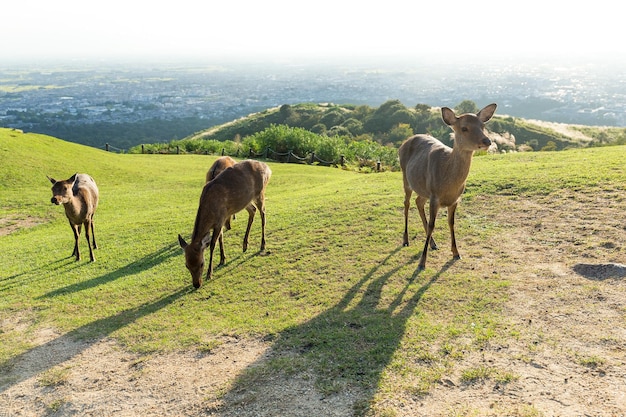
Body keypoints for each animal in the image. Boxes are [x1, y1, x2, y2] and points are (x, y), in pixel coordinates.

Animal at [178, 158, 270, 288]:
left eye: (202, 263)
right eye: (186, 265)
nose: (196, 284)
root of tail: (268, 168)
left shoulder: (220, 219)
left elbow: (212, 244)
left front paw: (209, 274)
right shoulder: (221, 220)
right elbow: (221, 238)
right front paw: (222, 259)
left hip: (260, 193)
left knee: (263, 214)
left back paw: (262, 245)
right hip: (245, 201)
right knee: (253, 210)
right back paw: (245, 245)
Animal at [398, 101, 494, 270]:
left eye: (482, 126)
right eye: (464, 128)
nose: (487, 141)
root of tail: (404, 143)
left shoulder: (455, 199)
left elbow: (451, 223)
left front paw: (456, 253)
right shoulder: (435, 196)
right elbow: (432, 224)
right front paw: (422, 263)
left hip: (423, 189)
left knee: (418, 201)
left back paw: (433, 243)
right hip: (405, 176)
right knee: (407, 203)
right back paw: (406, 240)